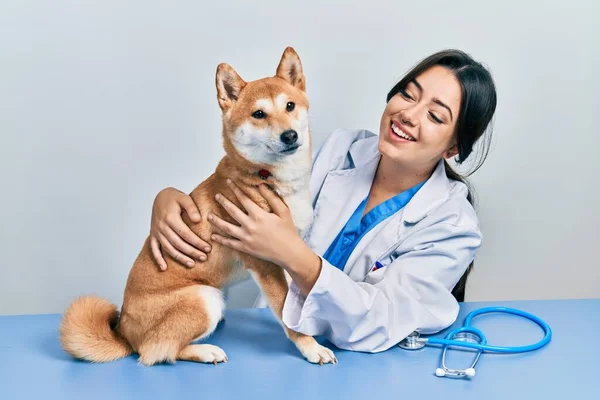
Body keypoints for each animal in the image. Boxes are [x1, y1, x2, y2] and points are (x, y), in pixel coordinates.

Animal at [60, 46, 338, 366]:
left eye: (290, 106)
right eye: (259, 114)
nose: (290, 135)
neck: (265, 178)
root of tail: (124, 332)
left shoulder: (290, 252)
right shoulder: (265, 264)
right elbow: (285, 310)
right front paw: (310, 346)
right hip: (206, 297)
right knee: (155, 351)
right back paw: (205, 351)